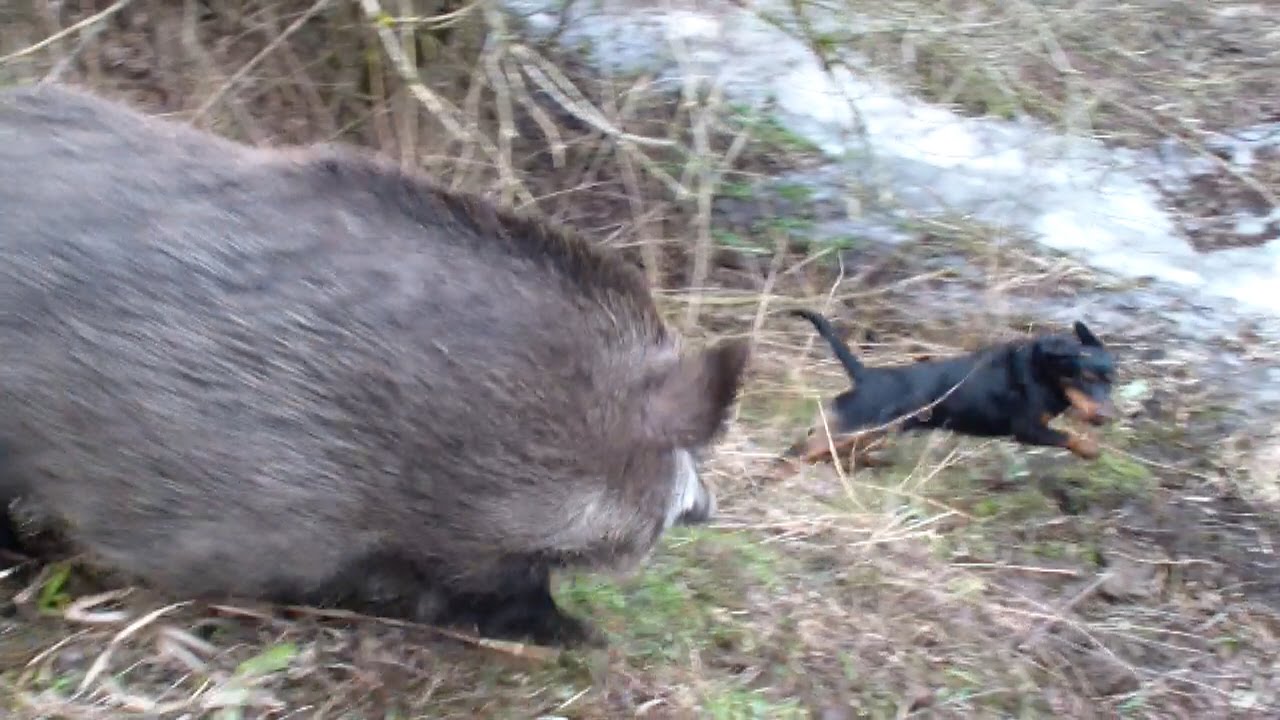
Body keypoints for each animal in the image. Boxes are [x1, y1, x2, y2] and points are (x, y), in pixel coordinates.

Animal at [783, 307, 1116, 461]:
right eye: (1085, 378)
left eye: (1112, 382)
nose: (1105, 416)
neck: (1043, 370)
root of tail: (865, 375)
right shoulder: (1027, 429)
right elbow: (1068, 436)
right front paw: (1089, 448)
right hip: (854, 428)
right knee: (798, 450)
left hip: (862, 434)